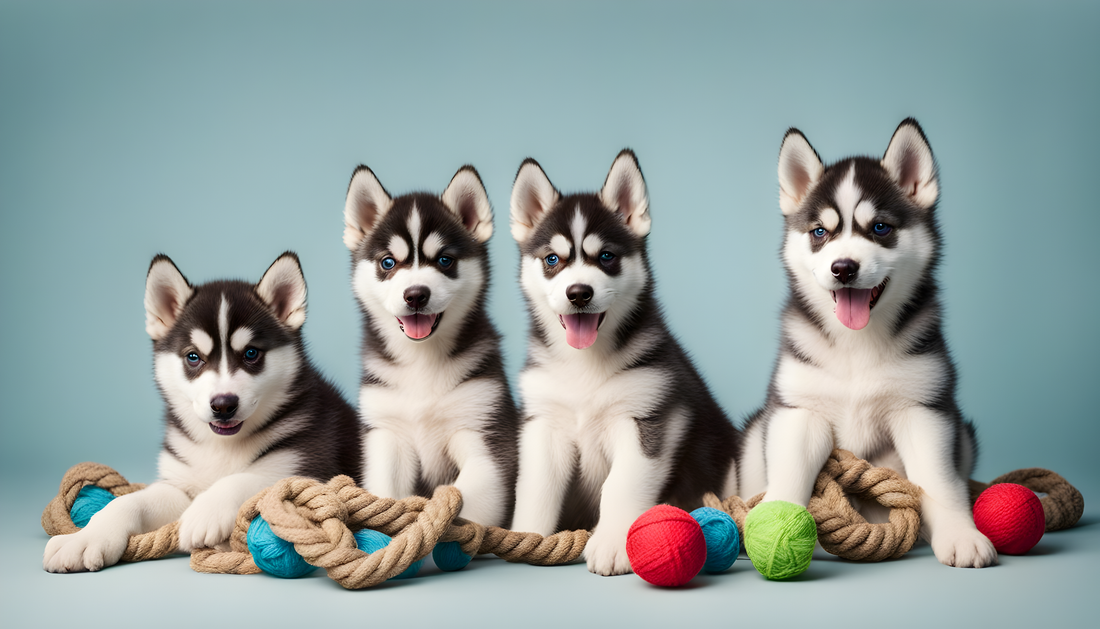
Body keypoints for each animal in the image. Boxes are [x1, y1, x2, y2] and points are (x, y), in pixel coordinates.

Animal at [41, 252, 360, 571]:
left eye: (251, 353)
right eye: (193, 357)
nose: (223, 405)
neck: (222, 446)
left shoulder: (306, 465)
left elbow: (251, 477)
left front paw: (205, 511)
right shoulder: (178, 484)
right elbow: (128, 502)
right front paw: (85, 537)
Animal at [343, 164, 519, 527]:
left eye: (444, 261)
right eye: (388, 263)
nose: (415, 295)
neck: (422, 361)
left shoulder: (488, 439)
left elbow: (467, 501)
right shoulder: (386, 435)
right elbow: (384, 494)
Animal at [506, 148, 739, 576]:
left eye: (606, 257)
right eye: (552, 259)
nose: (579, 293)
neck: (584, 364)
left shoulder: (648, 419)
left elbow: (620, 485)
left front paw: (613, 543)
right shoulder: (544, 424)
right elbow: (535, 487)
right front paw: (525, 536)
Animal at [743, 119, 1003, 571]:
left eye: (880, 228)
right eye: (820, 232)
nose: (843, 268)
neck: (855, 346)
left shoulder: (923, 409)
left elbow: (938, 480)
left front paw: (960, 535)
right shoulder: (798, 411)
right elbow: (790, 475)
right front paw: (771, 532)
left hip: (962, 434)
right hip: (754, 434)